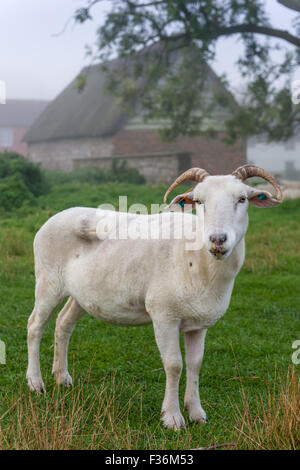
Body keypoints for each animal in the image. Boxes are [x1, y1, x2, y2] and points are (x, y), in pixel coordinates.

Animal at [25, 164, 282, 430]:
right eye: (199, 201)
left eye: (242, 199)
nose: (218, 240)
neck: (195, 258)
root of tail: (53, 218)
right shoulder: (164, 315)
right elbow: (174, 364)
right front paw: (172, 417)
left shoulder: (199, 322)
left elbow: (195, 363)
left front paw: (196, 412)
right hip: (47, 282)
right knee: (34, 326)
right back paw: (35, 383)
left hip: (82, 294)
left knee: (63, 323)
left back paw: (62, 377)